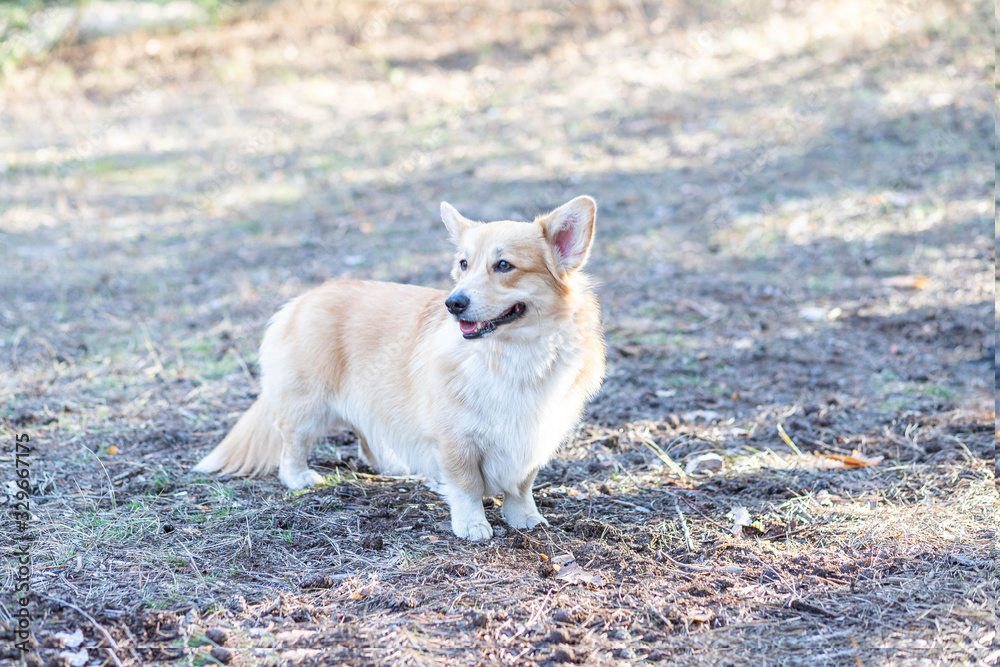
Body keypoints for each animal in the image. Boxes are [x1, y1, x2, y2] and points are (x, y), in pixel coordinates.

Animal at [191, 196, 604, 540]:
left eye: (504, 265)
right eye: (464, 264)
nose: (453, 303)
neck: (513, 356)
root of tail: (301, 299)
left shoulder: (533, 437)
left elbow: (521, 487)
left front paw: (524, 518)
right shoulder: (456, 440)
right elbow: (467, 487)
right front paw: (472, 525)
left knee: (364, 433)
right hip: (308, 405)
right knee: (292, 439)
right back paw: (300, 477)